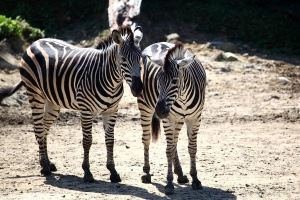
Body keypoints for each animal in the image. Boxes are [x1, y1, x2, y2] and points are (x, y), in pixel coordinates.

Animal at [0, 25, 144, 184]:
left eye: (141, 59)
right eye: (123, 59)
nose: (138, 88)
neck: (111, 80)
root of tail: (34, 43)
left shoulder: (112, 110)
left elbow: (110, 141)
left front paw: (113, 172)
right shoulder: (86, 110)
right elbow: (87, 140)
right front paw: (87, 172)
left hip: (53, 102)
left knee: (44, 129)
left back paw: (48, 163)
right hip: (35, 94)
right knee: (38, 129)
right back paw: (44, 167)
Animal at [138, 41, 206, 194]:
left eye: (174, 81)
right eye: (157, 80)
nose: (159, 111)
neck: (183, 97)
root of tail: (156, 43)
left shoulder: (195, 119)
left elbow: (192, 148)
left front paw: (196, 180)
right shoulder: (168, 119)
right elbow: (168, 150)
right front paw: (169, 183)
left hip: (179, 119)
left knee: (174, 142)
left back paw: (180, 173)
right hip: (145, 105)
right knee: (146, 138)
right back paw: (146, 172)